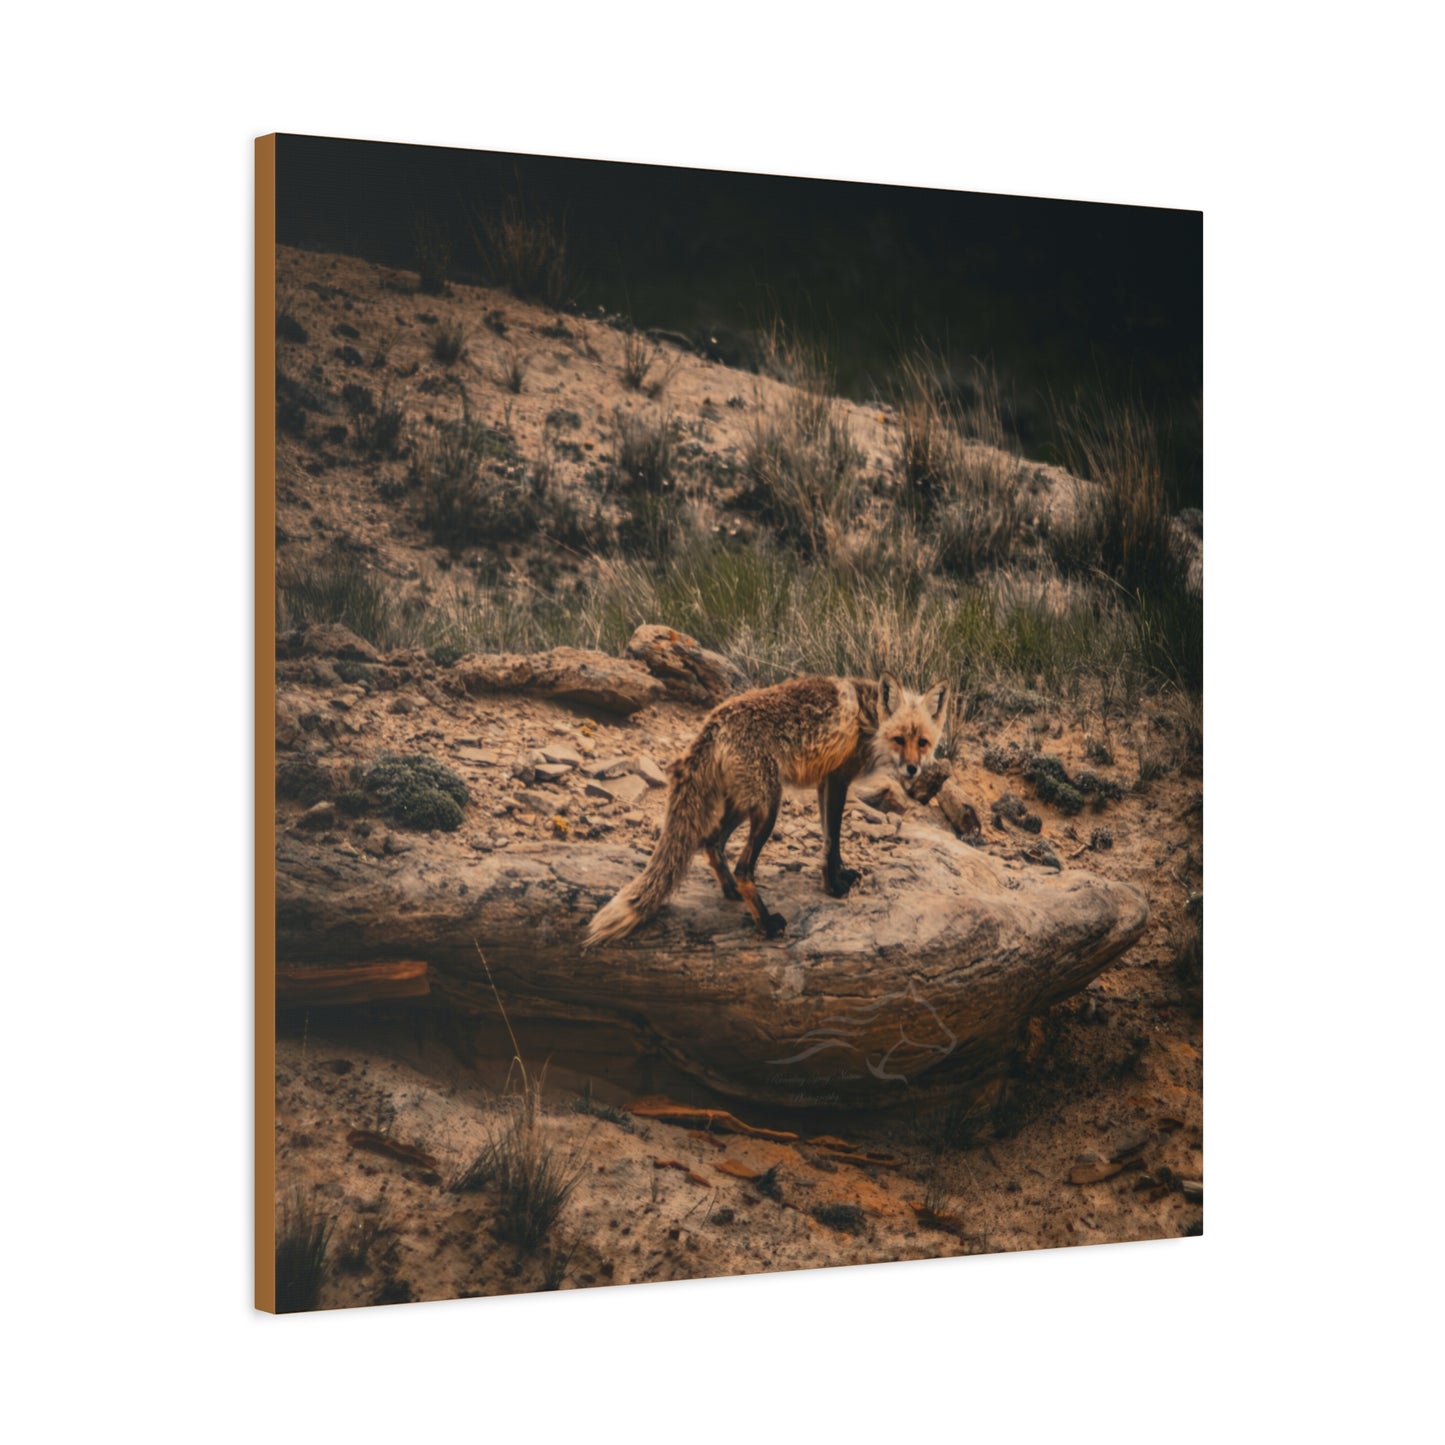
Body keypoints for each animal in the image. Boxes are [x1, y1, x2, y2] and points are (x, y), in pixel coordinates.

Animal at [584, 672, 950, 947]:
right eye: (900, 739)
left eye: (923, 742)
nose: (913, 770)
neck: (870, 719)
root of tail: (714, 722)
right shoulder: (837, 779)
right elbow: (832, 840)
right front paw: (834, 887)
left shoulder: (824, 783)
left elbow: (829, 841)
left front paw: (839, 875)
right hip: (768, 808)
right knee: (744, 868)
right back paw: (766, 924)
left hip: (743, 804)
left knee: (711, 842)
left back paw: (730, 890)